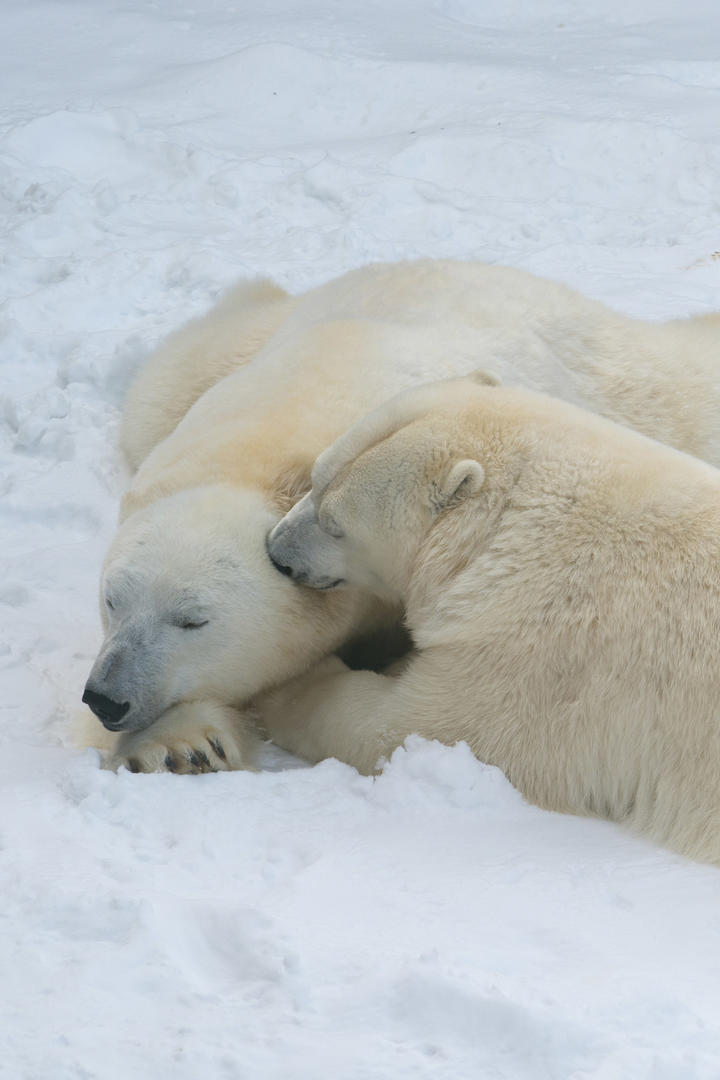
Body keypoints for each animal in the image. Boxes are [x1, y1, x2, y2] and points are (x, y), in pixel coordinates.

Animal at [84, 257, 720, 773]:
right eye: (112, 601)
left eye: (193, 619)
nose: (106, 697)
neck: (262, 454)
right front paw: (180, 745)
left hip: (626, 380)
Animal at [264, 375, 720, 864]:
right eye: (314, 479)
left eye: (335, 524)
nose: (275, 550)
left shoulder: (541, 651)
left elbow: (415, 726)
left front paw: (290, 687)